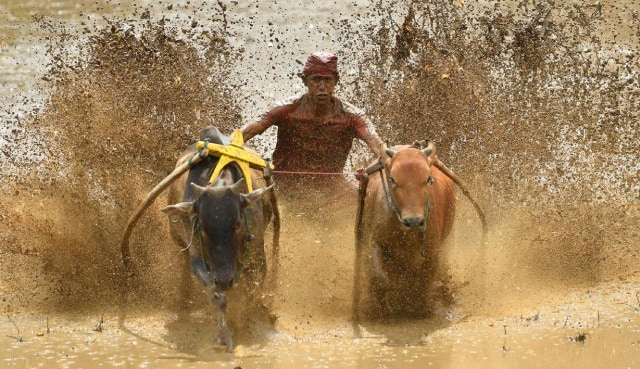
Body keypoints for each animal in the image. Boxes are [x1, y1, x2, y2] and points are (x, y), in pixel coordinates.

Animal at [120, 126, 280, 350]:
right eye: (202, 226)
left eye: (238, 223)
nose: (224, 279)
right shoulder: (195, 248)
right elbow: (212, 291)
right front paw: (224, 333)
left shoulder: (256, 251)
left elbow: (252, 287)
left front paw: (246, 319)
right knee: (184, 270)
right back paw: (183, 300)